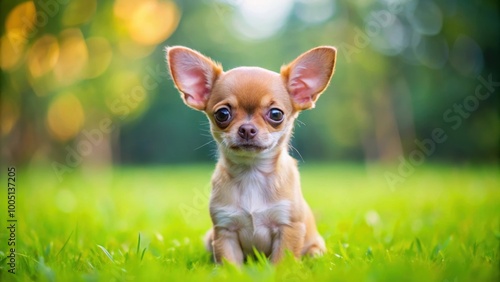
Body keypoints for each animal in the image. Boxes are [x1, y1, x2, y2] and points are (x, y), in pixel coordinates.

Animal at [167, 45, 336, 264]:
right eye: (222, 114)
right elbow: (230, 263)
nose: (247, 129)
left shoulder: (288, 227)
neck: (252, 173)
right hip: (209, 238)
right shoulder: (224, 230)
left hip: (316, 249)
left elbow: (282, 262)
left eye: (276, 114)